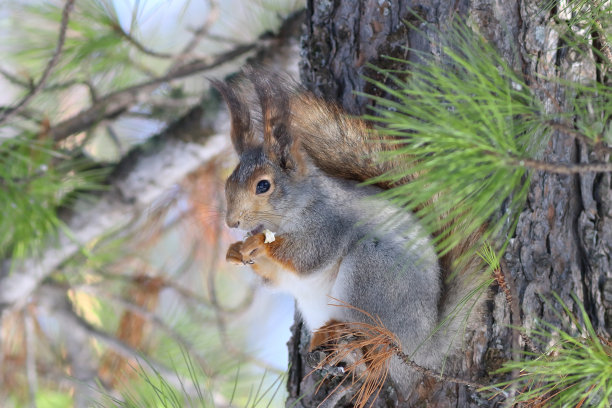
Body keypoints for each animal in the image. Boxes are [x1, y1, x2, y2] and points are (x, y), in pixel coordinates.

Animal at [213, 69, 486, 402]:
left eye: (263, 185)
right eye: (228, 181)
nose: (232, 221)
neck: (296, 208)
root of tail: (423, 346)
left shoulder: (329, 224)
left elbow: (306, 257)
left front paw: (257, 245)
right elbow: (277, 279)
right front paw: (235, 251)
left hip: (372, 275)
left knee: (379, 355)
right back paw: (326, 337)